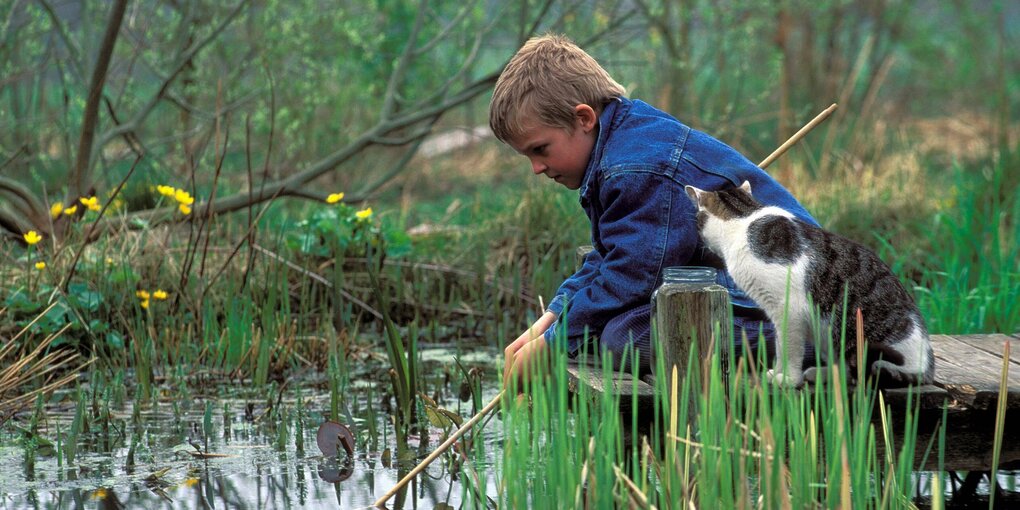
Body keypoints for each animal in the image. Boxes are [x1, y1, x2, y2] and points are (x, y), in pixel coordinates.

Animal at [685, 182, 934, 385]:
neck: (744, 218)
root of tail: (928, 366)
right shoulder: (776, 313)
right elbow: (779, 345)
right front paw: (775, 373)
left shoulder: (789, 310)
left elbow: (789, 348)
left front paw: (787, 379)